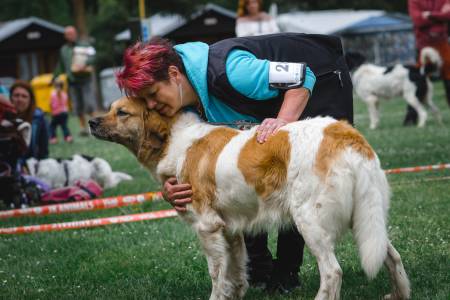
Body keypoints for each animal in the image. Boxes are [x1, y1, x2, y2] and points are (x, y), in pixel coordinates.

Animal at [89, 97, 412, 298]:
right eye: (110, 108)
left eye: (122, 112)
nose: (91, 122)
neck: (173, 138)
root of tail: (344, 133)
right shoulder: (230, 230)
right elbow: (235, 274)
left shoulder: (208, 227)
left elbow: (217, 276)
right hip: (366, 219)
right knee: (391, 256)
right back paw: (399, 294)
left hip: (310, 221)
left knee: (332, 273)